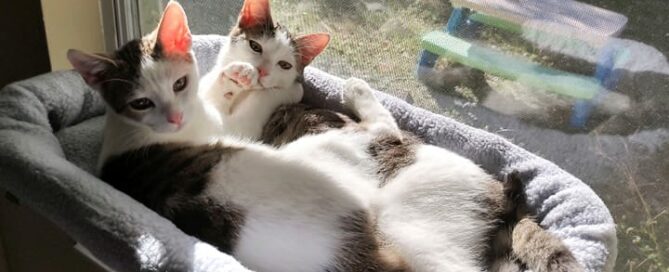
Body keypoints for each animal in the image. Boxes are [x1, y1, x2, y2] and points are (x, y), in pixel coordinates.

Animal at [66, 1, 580, 270]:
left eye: (283, 61)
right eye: (254, 44)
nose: (261, 71)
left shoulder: (228, 120)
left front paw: (262, 84)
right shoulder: (227, 127)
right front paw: (239, 78)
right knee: (382, 128)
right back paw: (358, 93)